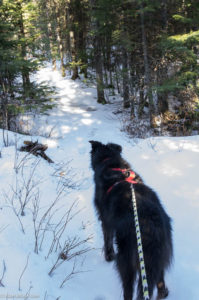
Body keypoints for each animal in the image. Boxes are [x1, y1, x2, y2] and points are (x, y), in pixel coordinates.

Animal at [89, 141, 173, 300]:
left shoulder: (106, 220)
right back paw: (163, 293)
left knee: (128, 289)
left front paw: (108, 256)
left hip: (126, 260)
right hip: (157, 258)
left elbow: (107, 240)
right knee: (160, 284)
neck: (112, 163)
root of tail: (150, 228)